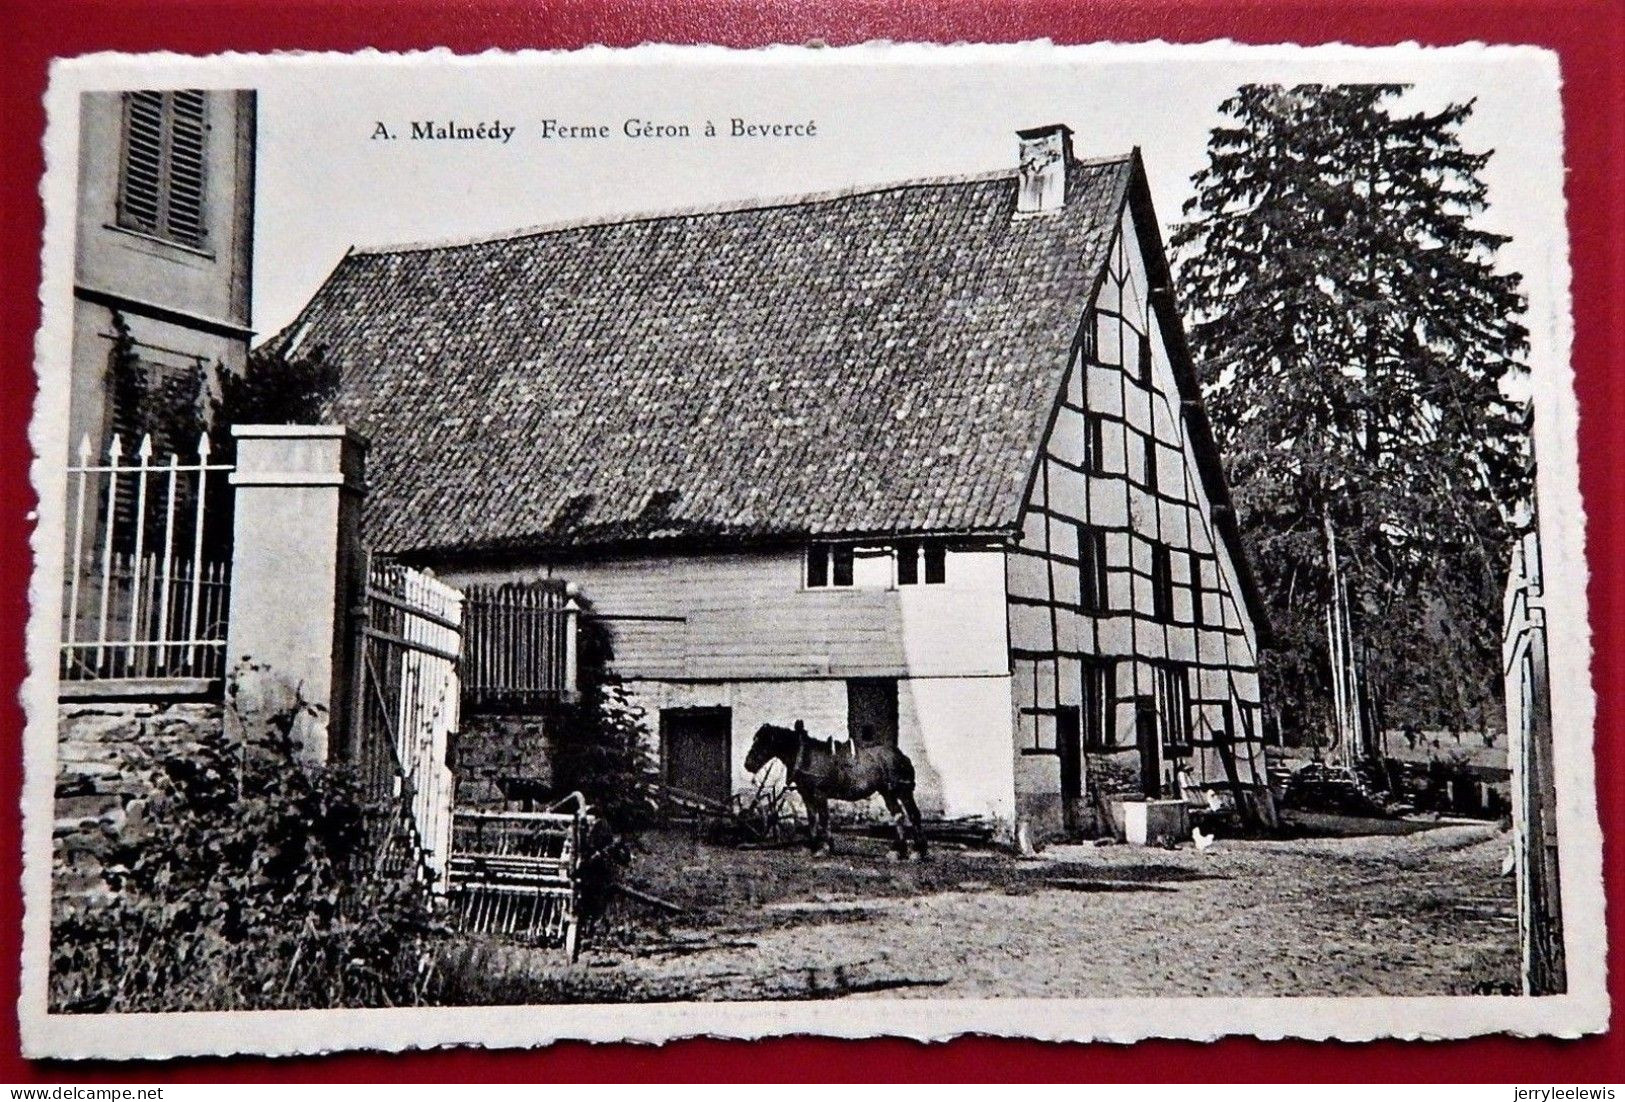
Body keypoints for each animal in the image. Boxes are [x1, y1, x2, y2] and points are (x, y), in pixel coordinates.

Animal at [744, 724, 929, 864]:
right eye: (755, 740)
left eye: (763, 742)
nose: (748, 764)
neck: (807, 757)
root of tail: (902, 756)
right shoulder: (806, 794)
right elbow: (812, 819)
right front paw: (812, 846)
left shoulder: (819, 794)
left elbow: (824, 819)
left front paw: (825, 848)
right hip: (887, 792)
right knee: (898, 815)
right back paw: (897, 851)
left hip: (903, 791)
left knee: (913, 815)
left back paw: (918, 852)